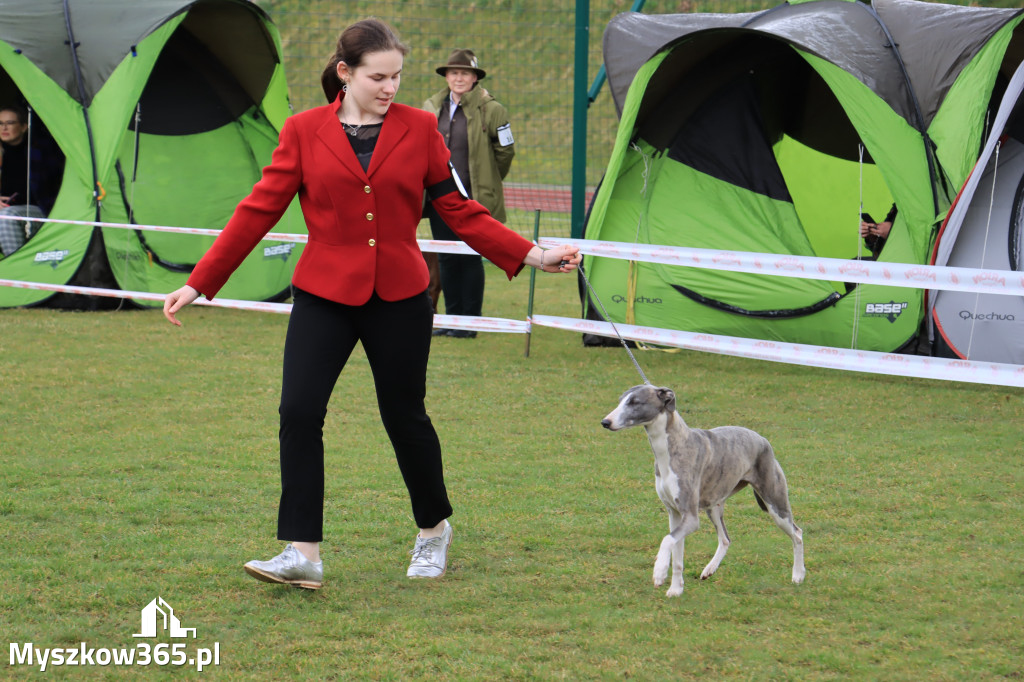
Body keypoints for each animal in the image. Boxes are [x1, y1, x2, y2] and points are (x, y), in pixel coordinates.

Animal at [602, 382, 802, 593]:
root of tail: (763, 439)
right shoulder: (675, 514)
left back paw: (798, 575)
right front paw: (676, 590)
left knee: (797, 534)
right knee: (725, 539)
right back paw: (709, 569)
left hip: (775, 503)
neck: (672, 448)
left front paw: (659, 571)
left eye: (635, 402)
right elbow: (677, 554)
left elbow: (667, 540)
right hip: (714, 505)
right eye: (621, 400)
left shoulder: (690, 517)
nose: (605, 422)